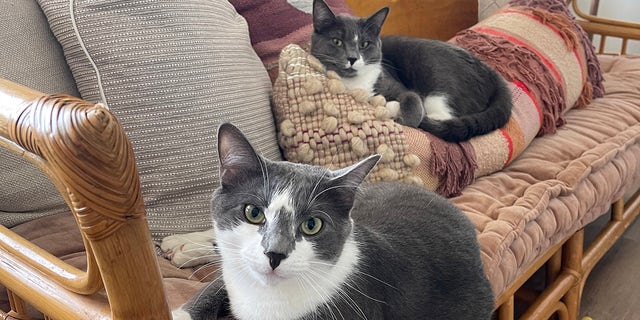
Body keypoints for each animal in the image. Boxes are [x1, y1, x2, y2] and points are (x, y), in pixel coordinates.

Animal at [172, 123, 492, 320]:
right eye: (253, 212)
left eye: (312, 225)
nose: (274, 253)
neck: (266, 298)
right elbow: (217, 281)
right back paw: (180, 244)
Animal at [312, 0, 516, 142]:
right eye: (337, 41)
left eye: (364, 44)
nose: (352, 58)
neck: (356, 83)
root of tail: (492, 73)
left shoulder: (393, 83)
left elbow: (412, 100)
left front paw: (402, 114)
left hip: (436, 73)